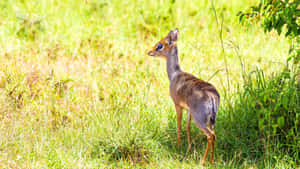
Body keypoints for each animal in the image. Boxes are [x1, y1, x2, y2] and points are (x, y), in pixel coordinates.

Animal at [148, 28, 220, 164]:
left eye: (160, 45)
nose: (149, 52)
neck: (174, 75)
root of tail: (212, 97)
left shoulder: (177, 105)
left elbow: (179, 126)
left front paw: (178, 147)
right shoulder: (188, 110)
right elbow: (187, 127)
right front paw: (189, 148)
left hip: (200, 120)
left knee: (210, 135)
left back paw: (203, 162)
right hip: (211, 120)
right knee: (214, 134)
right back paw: (212, 161)